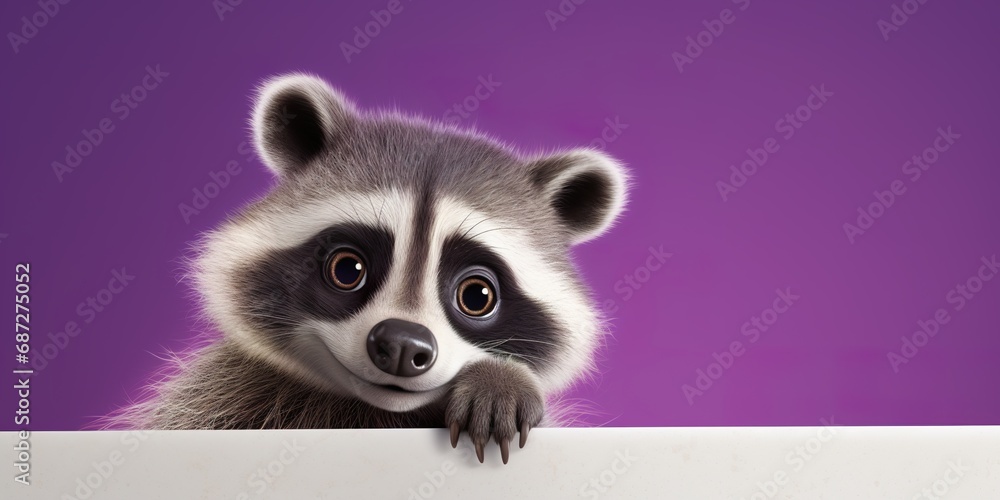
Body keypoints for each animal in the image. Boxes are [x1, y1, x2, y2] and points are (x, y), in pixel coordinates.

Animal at [117, 73, 629, 464]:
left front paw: (501, 377)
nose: (402, 344)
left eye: (477, 296)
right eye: (348, 269)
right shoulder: (218, 396)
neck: (385, 412)